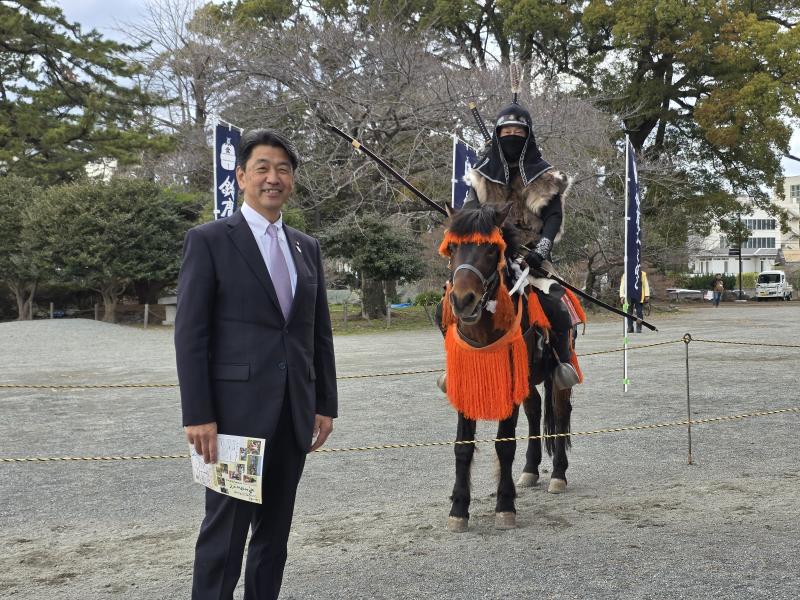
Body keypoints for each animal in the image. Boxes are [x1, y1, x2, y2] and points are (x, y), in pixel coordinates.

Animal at [435, 203, 577, 532]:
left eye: (491, 250)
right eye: (452, 248)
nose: (462, 300)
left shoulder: (509, 379)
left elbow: (504, 444)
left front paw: (505, 505)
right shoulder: (468, 382)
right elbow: (463, 446)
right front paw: (458, 509)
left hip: (558, 371)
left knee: (560, 412)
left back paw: (558, 475)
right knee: (535, 410)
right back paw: (530, 470)